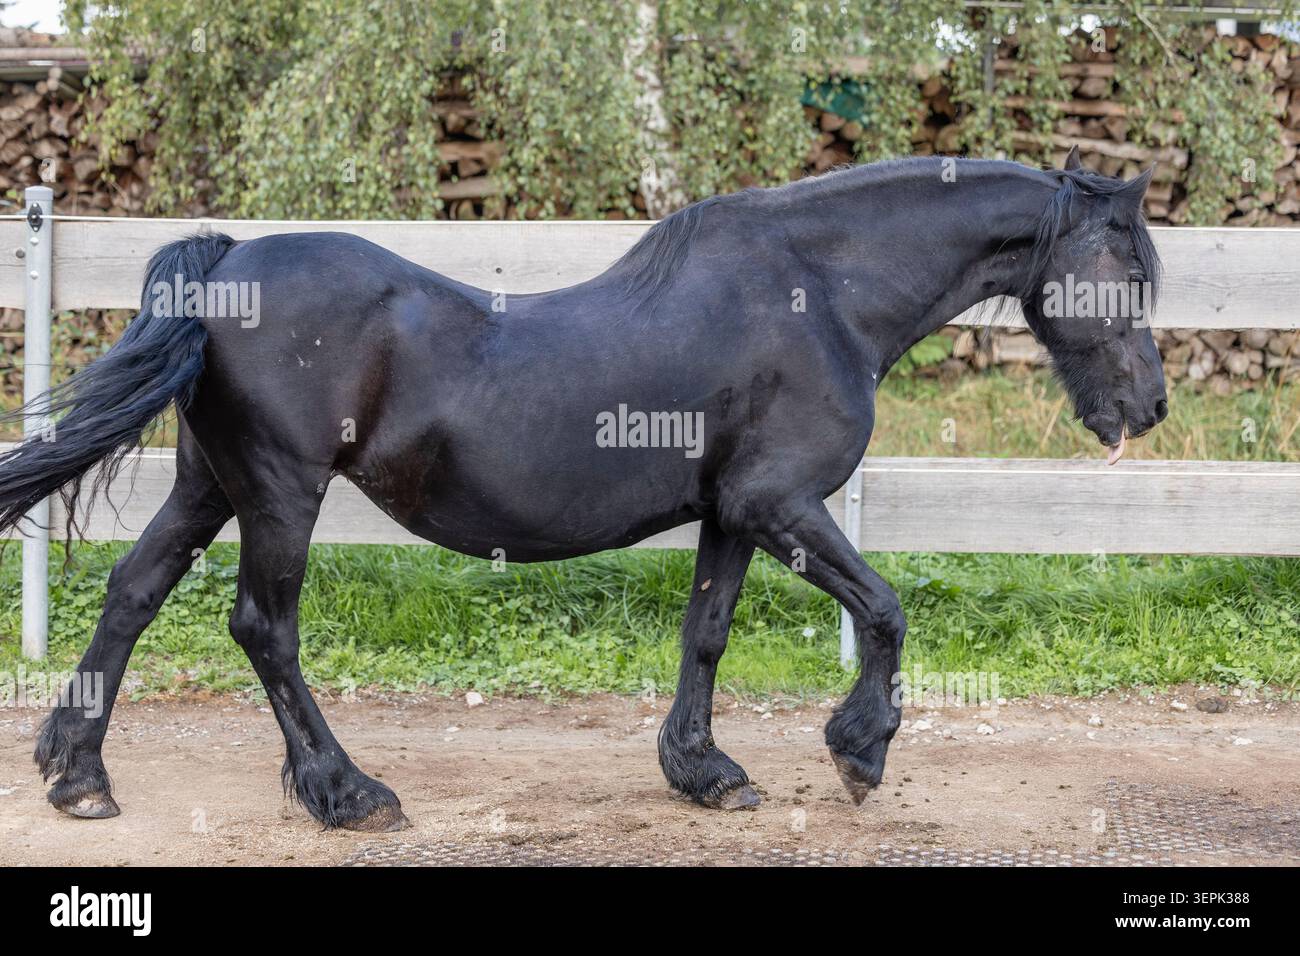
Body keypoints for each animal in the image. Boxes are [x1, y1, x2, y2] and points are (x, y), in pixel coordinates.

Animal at [0, 148, 1166, 830]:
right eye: (1127, 267)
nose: (1148, 406)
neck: (820, 295)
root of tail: (227, 261)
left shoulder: (732, 512)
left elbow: (707, 632)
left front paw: (704, 770)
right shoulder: (782, 504)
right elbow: (884, 608)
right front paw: (859, 750)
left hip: (211, 484)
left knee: (133, 593)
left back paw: (80, 775)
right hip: (281, 491)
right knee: (262, 627)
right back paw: (347, 791)